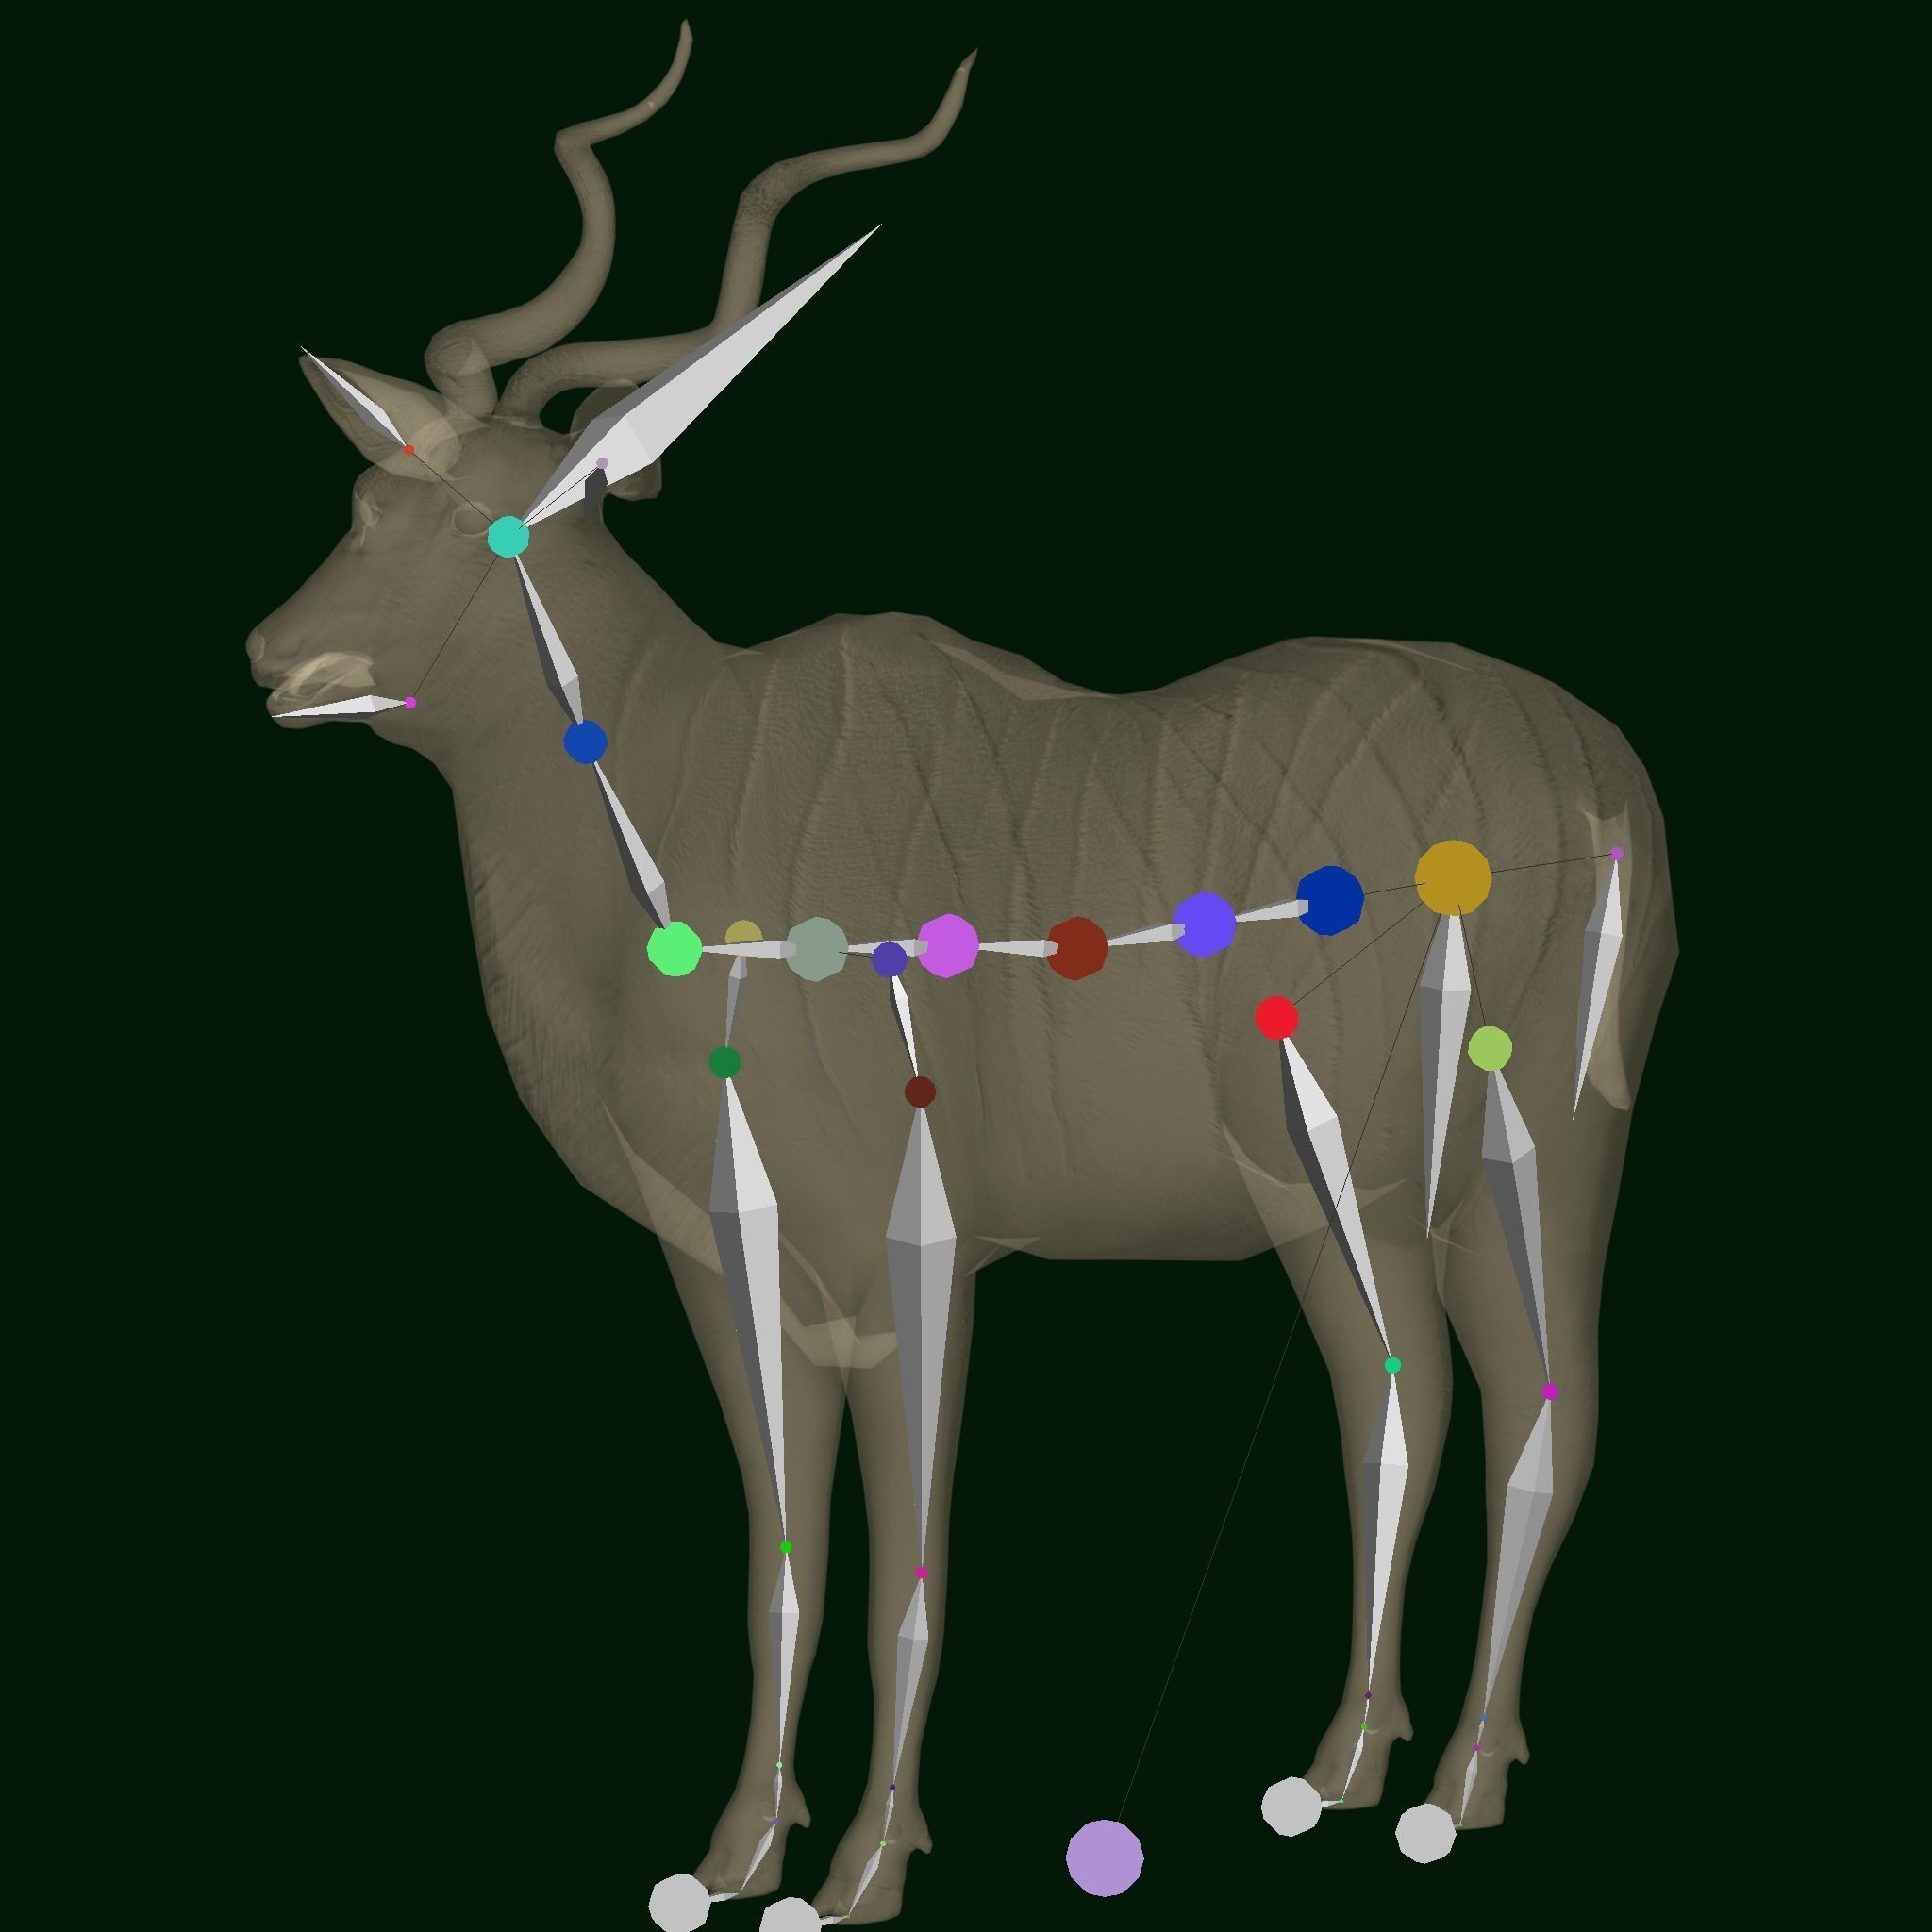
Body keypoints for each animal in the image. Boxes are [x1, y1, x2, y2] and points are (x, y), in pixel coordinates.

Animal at [246, 22, 1675, 1924]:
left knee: (1437, 1399)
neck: (679, 804)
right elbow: (780, 1551)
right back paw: (1425, 1765)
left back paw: (1389, 1771)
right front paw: (733, 1850)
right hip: (1498, 1170)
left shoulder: (907, 1250)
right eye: (365, 494)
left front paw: (857, 1864)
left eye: (480, 518)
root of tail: (1593, 781)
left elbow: (906, 1561)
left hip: (1367, 1178)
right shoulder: (734, 1269)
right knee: (1513, 1400)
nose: (274, 656)